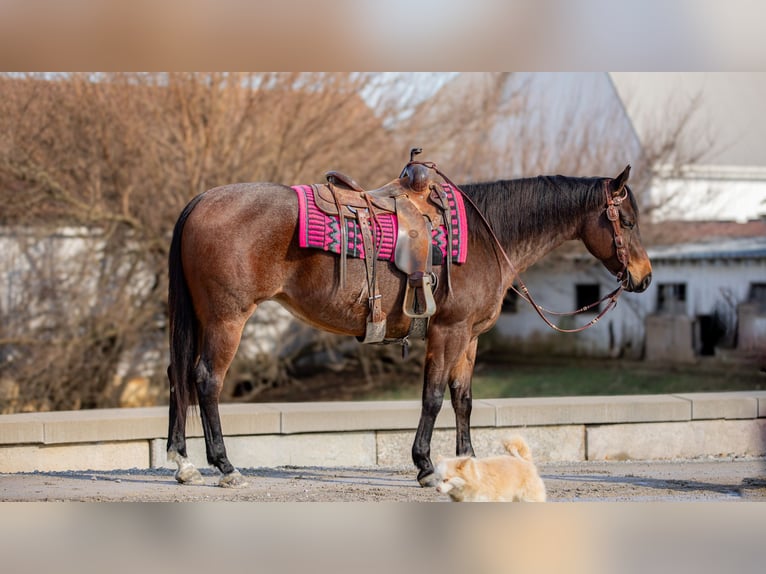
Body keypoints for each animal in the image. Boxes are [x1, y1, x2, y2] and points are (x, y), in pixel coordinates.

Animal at [166, 164, 656, 488]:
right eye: (629, 221)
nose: (645, 277)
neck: (486, 234)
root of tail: (201, 201)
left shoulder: (469, 338)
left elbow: (463, 399)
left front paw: (467, 462)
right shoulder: (448, 332)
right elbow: (433, 397)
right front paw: (424, 465)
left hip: (201, 318)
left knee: (178, 377)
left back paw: (183, 462)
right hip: (227, 319)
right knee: (206, 380)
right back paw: (224, 466)